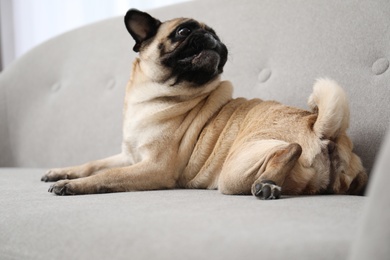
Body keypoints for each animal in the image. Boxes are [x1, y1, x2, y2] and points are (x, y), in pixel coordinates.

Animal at [41, 8, 368, 199]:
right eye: (184, 32)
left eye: (213, 35)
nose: (212, 38)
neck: (153, 97)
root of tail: (319, 125)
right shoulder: (129, 156)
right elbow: (93, 163)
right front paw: (62, 172)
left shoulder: (153, 167)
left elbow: (106, 176)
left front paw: (72, 185)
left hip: (234, 171)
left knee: (290, 149)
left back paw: (267, 184)